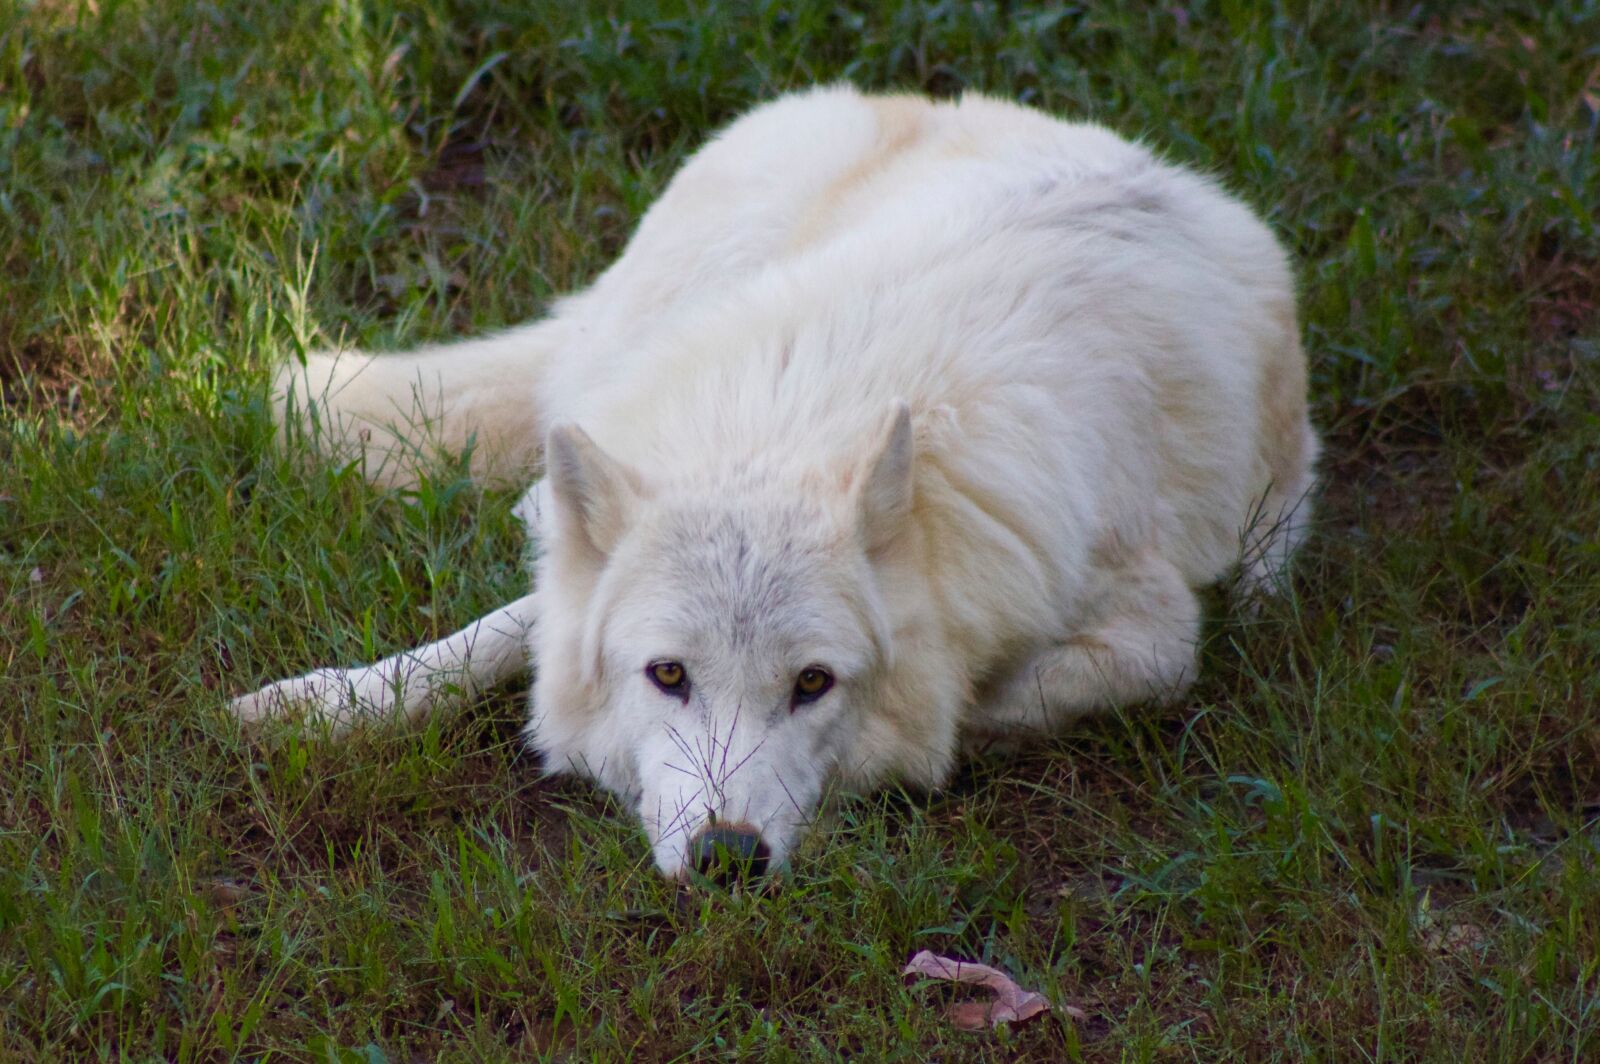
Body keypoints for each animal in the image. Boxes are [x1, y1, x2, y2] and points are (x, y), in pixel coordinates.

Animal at [232, 85, 1318, 876]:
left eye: (813, 684)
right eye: (668, 675)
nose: (728, 856)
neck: (801, 423)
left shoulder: (1158, 621)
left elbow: (1016, 695)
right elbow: (501, 631)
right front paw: (330, 704)